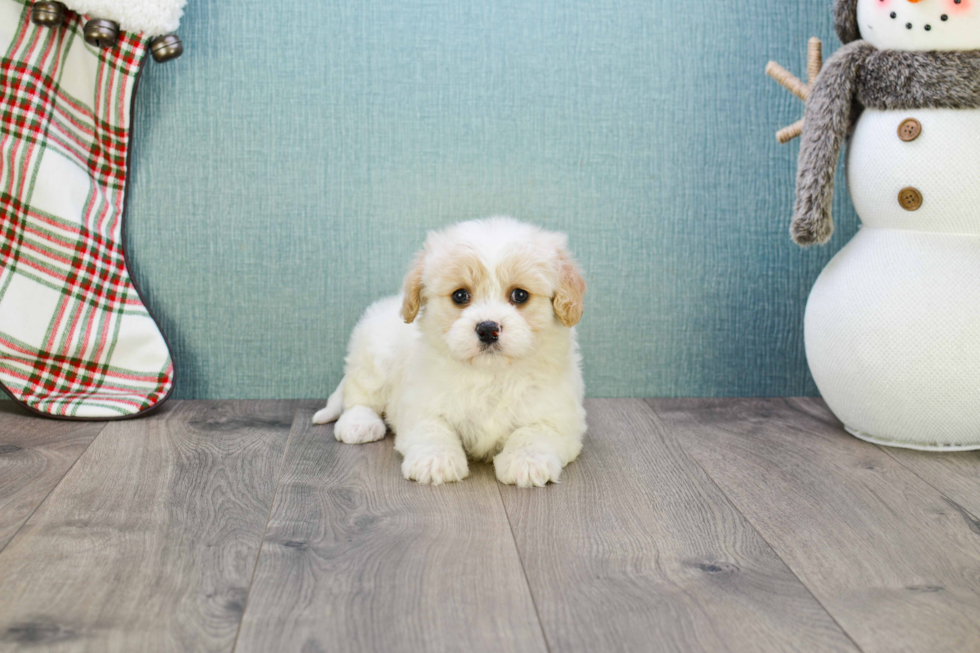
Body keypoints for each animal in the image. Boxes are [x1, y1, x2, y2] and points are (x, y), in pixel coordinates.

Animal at [314, 216, 584, 486]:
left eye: (520, 295)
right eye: (460, 295)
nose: (487, 329)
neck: (491, 375)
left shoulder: (558, 415)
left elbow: (535, 432)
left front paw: (527, 462)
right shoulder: (420, 404)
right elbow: (433, 429)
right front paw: (436, 460)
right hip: (375, 357)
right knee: (359, 396)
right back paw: (359, 424)